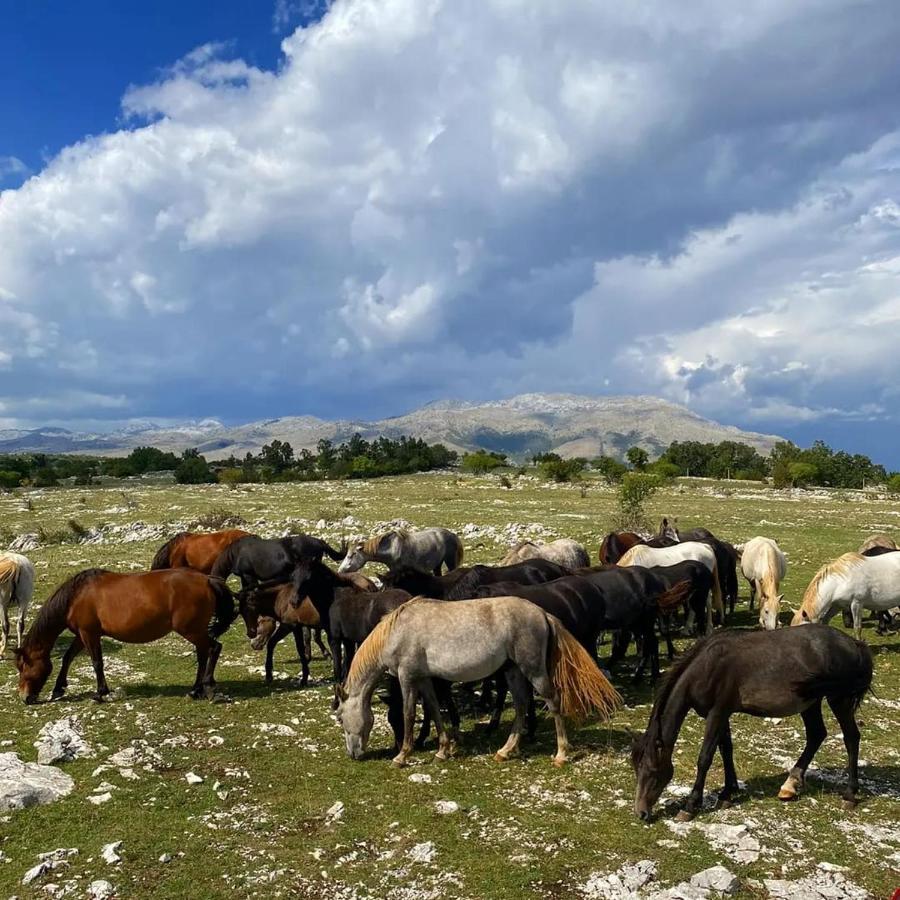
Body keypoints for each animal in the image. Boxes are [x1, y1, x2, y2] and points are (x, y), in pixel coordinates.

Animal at [16, 568, 236, 704]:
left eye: (24, 666)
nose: (25, 698)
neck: (75, 596)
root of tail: (206, 580)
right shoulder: (82, 634)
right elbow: (67, 657)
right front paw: (58, 689)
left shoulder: (89, 634)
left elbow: (97, 662)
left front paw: (100, 693)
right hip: (195, 631)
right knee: (203, 654)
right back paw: (195, 690)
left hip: (191, 630)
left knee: (214, 648)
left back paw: (207, 687)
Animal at [334, 596, 624, 768]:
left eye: (340, 717)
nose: (353, 754)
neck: (397, 630)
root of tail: (543, 614)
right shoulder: (425, 679)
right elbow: (435, 711)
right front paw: (443, 750)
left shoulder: (408, 677)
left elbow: (408, 714)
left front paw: (402, 755)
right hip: (512, 671)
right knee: (521, 705)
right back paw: (505, 750)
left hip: (533, 670)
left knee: (552, 702)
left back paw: (561, 753)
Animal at [628, 624, 868, 824]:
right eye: (636, 769)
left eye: (652, 770)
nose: (641, 813)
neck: (707, 666)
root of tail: (853, 644)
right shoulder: (722, 714)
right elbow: (726, 749)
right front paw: (727, 792)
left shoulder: (717, 713)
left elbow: (705, 758)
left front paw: (690, 805)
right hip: (810, 702)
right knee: (817, 735)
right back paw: (790, 785)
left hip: (839, 699)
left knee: (851, 737)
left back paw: (850, 794)